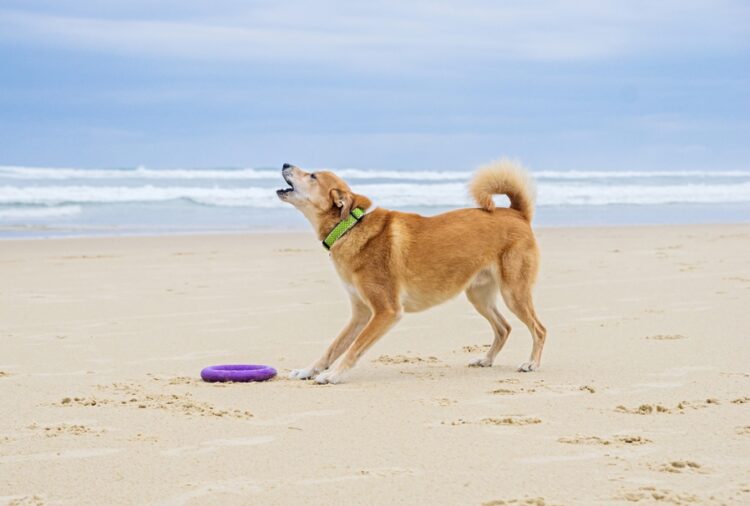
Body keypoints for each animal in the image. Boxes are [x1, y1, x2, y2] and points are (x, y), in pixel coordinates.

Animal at [276, 160, 548, 386]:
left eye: (312, 175)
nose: (286, 163)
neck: (349, 227)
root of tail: (517, 213)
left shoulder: (386, 311)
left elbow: (354, 348)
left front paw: (333, 374)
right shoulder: (361, 314)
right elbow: (333, 347)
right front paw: (308, 370)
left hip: (513, 293)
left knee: (539, 329)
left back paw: (531, 363)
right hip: (479, 297)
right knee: (504, 328)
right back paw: (486, 359)